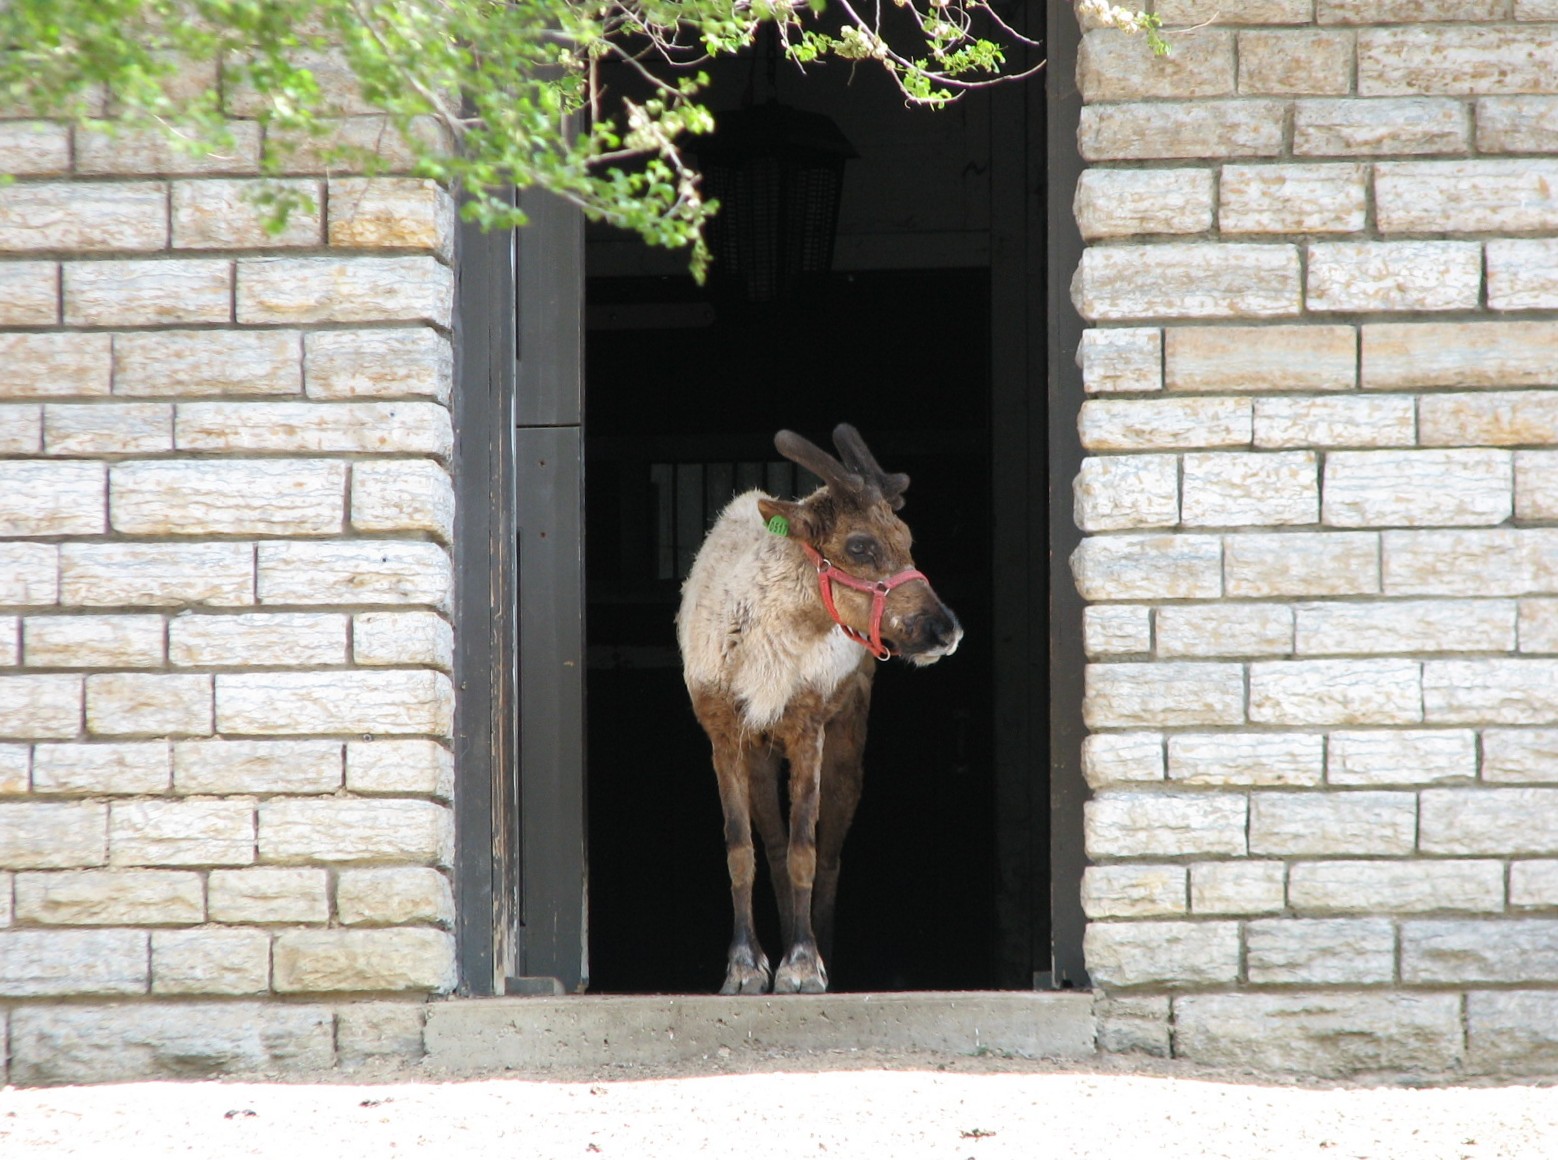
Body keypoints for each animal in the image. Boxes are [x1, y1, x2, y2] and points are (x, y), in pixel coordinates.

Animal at [676, 424, 963, 994]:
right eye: (860, 544)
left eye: (907, 539)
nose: (946, 629)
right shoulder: (723, 729)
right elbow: (742, 850)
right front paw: (745, 966)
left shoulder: (808, 725)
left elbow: (806, 851)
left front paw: (804, 963)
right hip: (761, 753)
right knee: (773, 843)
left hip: (847, 735)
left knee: (828, 851)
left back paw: (820, 949)